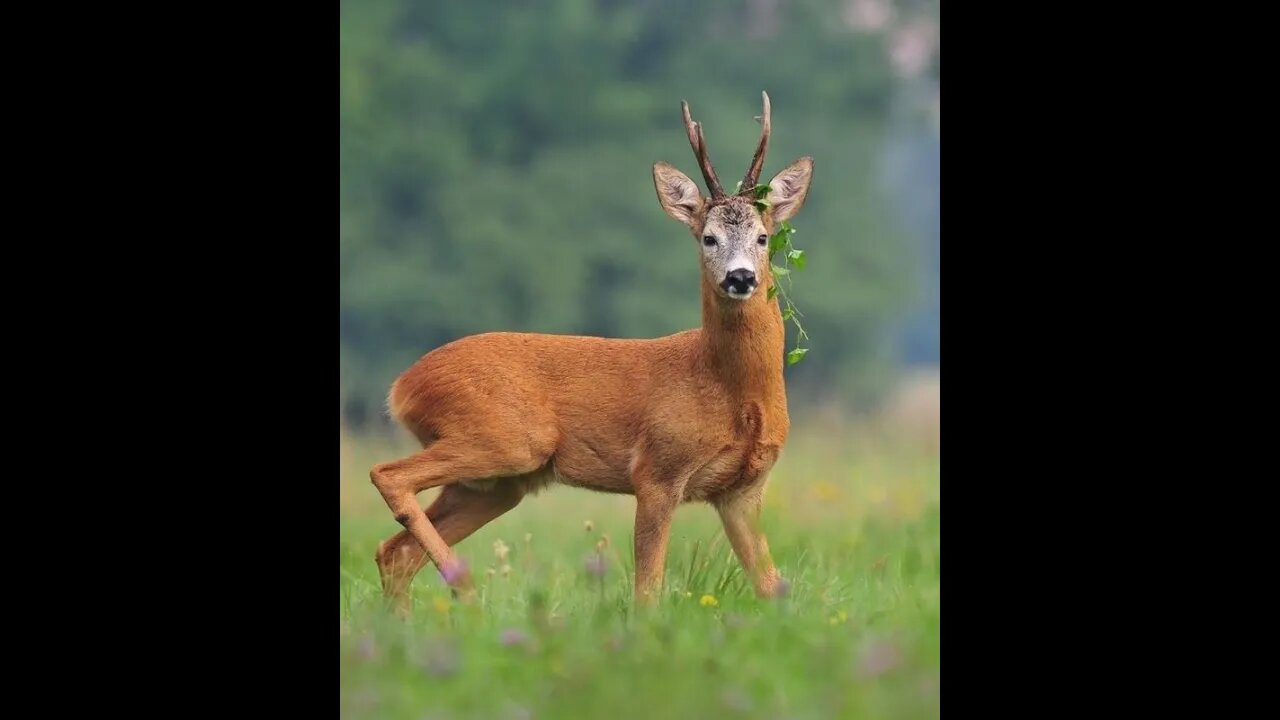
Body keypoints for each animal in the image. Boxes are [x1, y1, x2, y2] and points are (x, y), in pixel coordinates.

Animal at [371, 88, 808, 604]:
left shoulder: (742, 490)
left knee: (394, 552)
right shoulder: (656, 472)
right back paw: (467, 589)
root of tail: (402, 386)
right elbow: (647, 591)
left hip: (494, 482)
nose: (740, 277)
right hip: (504, 439)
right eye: (708, 237)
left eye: (763, 237)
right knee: (387, 476)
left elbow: (772, 587)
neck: (731, 390)